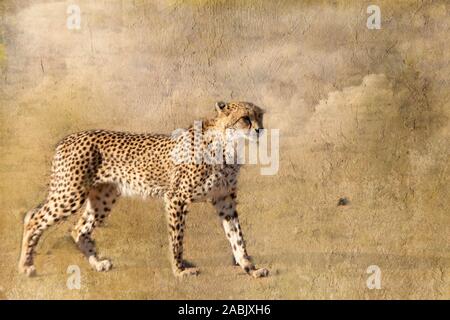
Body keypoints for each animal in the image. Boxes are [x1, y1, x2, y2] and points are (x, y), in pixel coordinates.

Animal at [19, 102, 268, 278]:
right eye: (245, 119)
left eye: (260, 116)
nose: (260, 130)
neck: (228, 146)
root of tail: (67, 139)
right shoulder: (175, 198)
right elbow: (177, 239)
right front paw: (180, 270)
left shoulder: (224, 200)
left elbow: (237, 237)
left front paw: (250, 268)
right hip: (71, 194)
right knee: (34, 219)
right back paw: (26, 266)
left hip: (103, 197)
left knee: (79, 229)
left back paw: (97, 264)